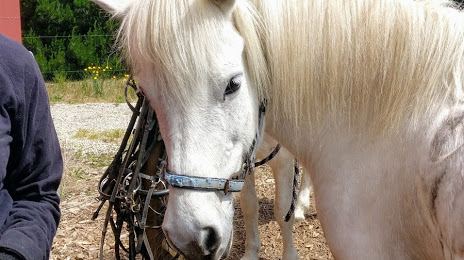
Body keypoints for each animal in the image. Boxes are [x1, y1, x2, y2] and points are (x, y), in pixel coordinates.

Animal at [92, 0, 464, 258]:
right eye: (148, 94)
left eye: (233, 84)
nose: (192, 237)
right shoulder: (243, 162)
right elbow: (249, 207)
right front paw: (252, 253)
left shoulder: (284, 159)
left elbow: (284, 209)